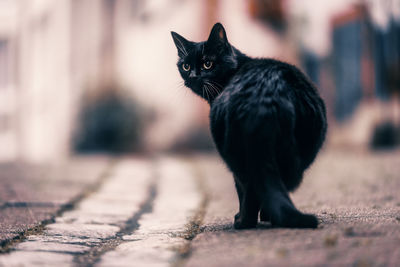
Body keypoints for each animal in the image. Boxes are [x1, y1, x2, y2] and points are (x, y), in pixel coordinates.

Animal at [170, 23, 326, 229]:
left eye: (207, 64)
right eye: (186, 66)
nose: (193, 76)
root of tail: (263, 97)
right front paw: (268, 216)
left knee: (249, 188)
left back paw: (243, 221)